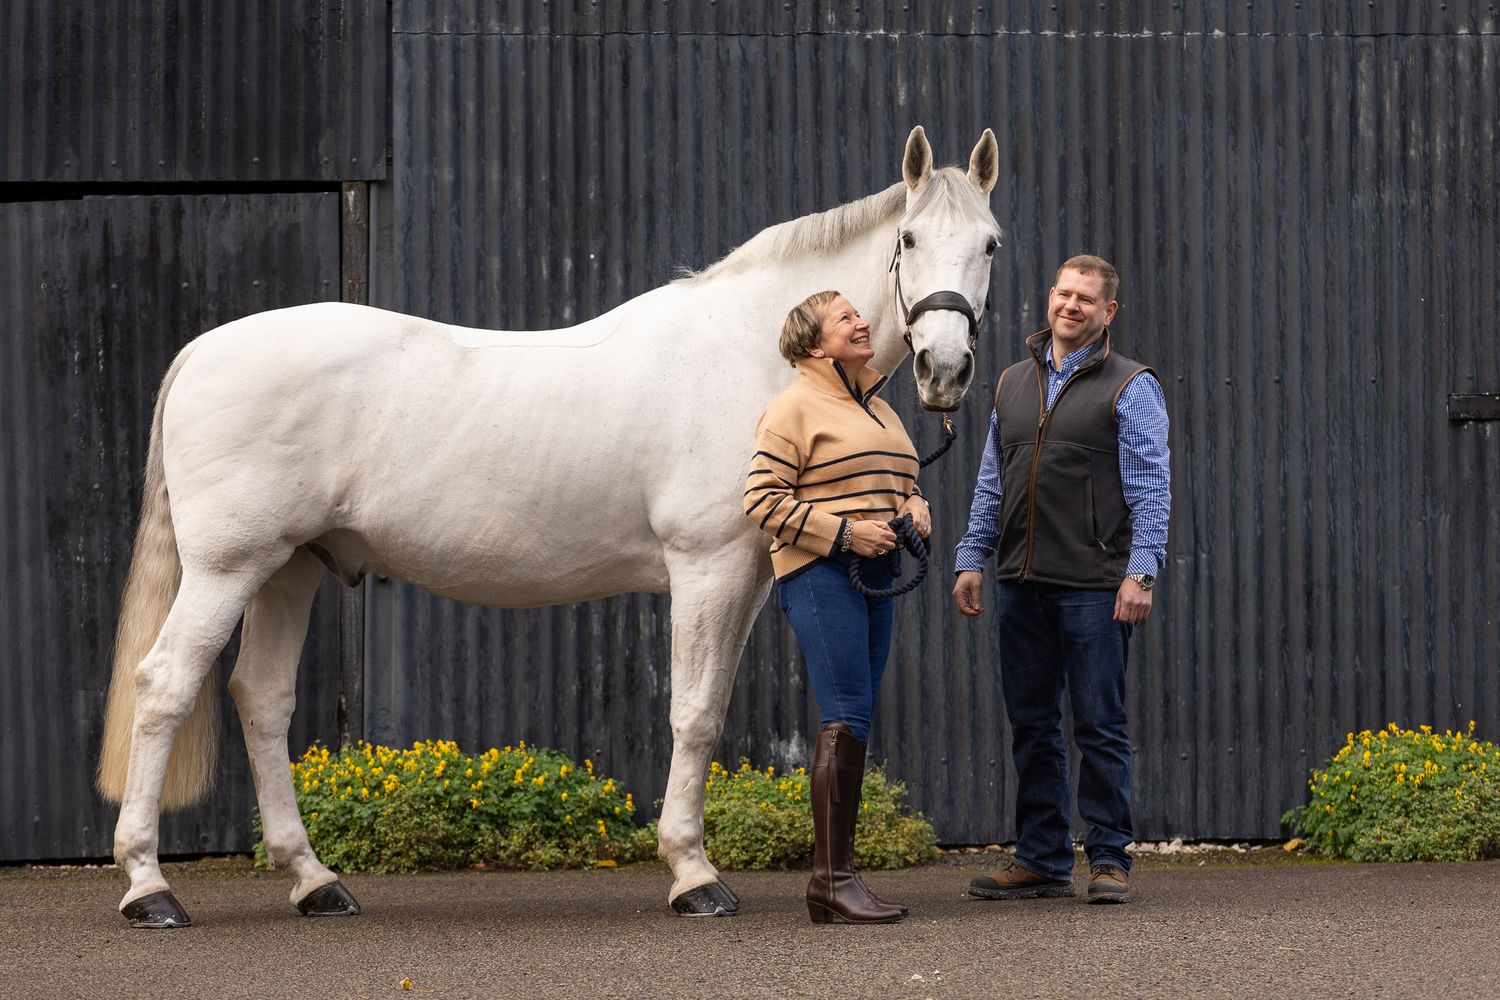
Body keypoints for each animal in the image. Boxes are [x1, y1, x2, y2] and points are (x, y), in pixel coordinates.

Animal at [96, 126, 1004, 926]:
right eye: (911, 237)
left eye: (991, 244)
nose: (946, 368)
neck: (753, 354)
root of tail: (201, 351)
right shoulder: (705, 569)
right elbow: (694, 714)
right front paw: (693, 876)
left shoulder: (746, 578)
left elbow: (707, 708)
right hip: (229, 566)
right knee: (166, 686)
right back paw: (149, 889)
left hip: (290, 567)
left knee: (261, 699)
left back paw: (314, 881)